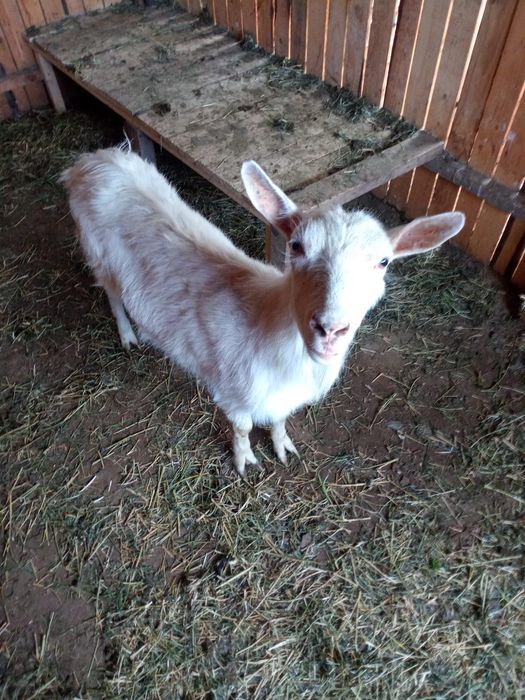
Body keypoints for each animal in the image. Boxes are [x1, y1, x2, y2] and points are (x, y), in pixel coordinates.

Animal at [61, 148, 465, 475]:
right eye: (297, 246)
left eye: (384, 262)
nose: (330, 329)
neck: (267, 326)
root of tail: (92, 161)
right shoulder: (232, 391)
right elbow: (241, 429)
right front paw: (244, 461)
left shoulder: (280, 397)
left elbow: (280, 420)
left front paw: (282, 446)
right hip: (97, 250)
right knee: (113, 294)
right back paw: (128, 334)